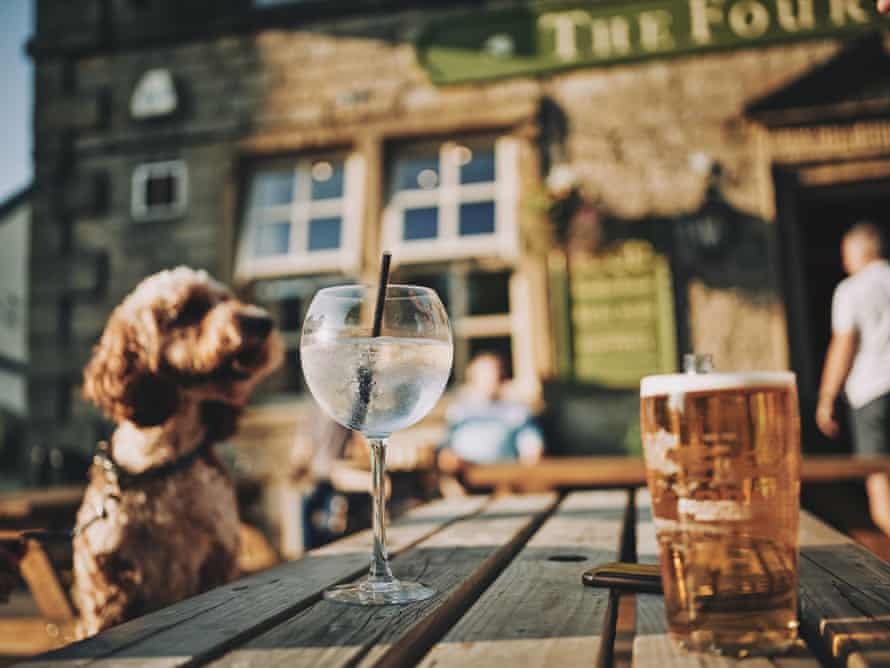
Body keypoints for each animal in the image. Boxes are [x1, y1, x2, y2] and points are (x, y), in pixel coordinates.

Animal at [72, 268, 280, 636]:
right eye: (189, 309)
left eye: (227, 298)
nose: (262, 321)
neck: (163, 460)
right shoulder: (106, 582)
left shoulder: (217, 560)